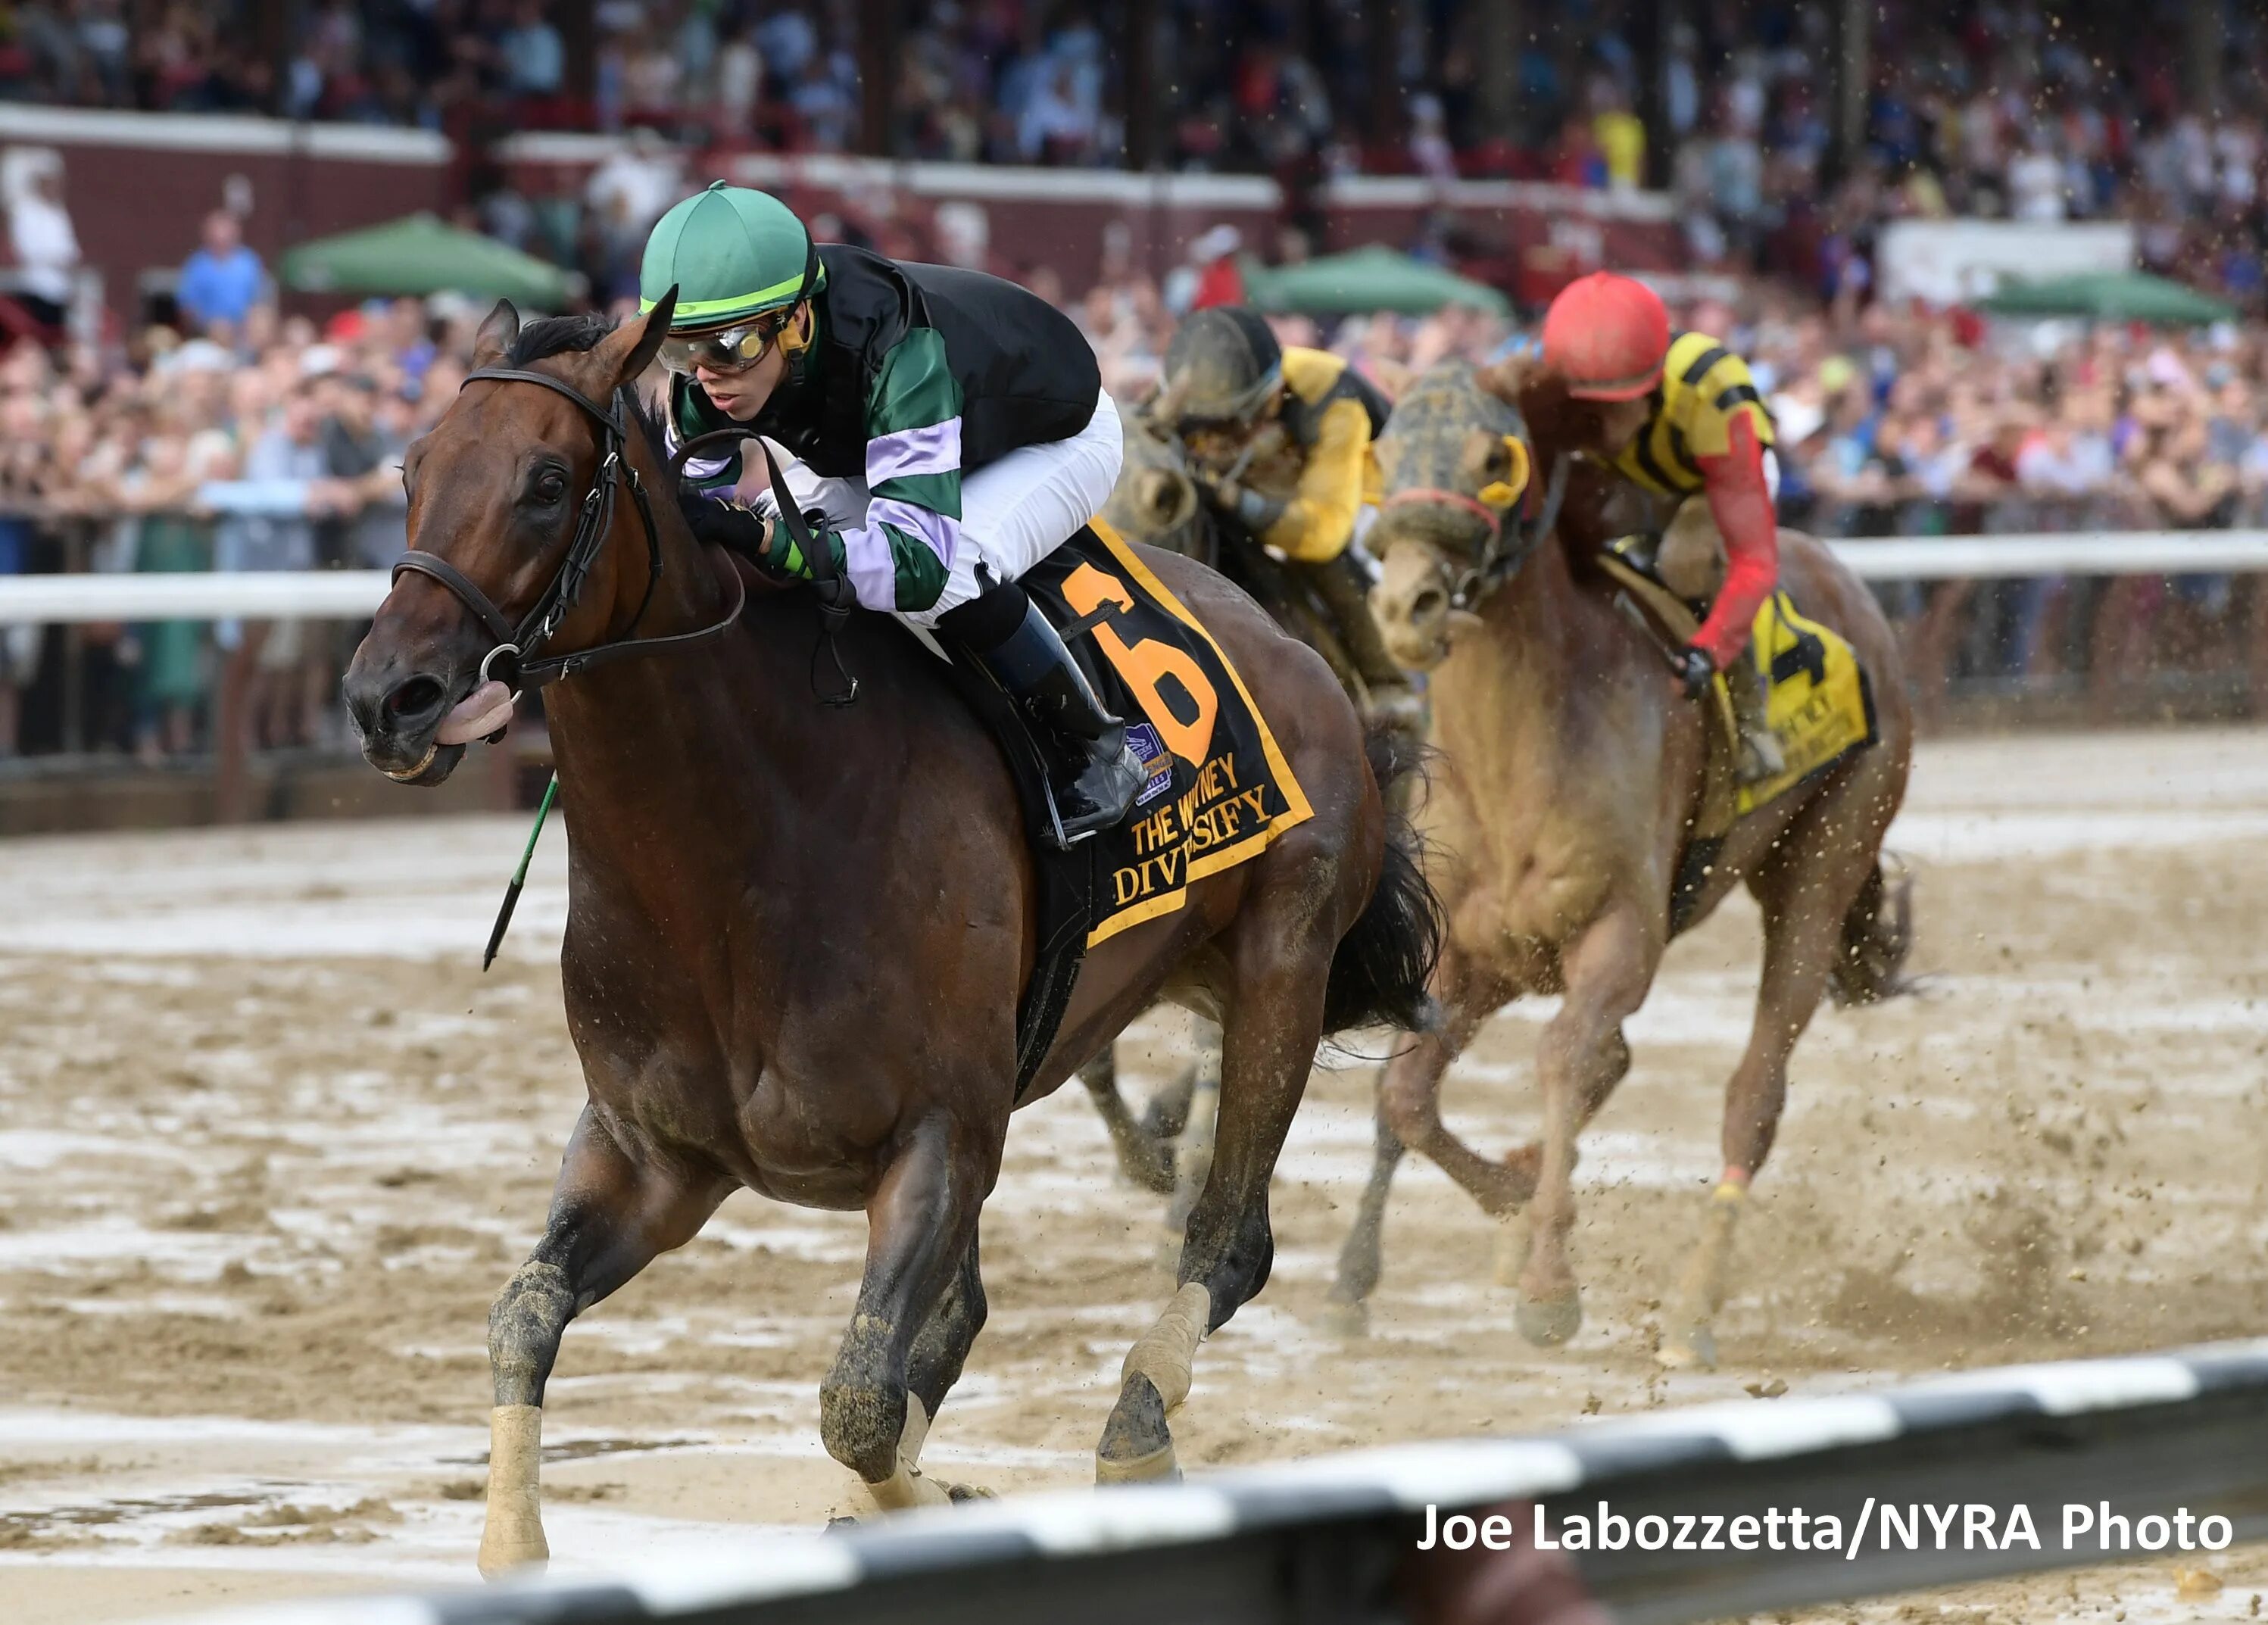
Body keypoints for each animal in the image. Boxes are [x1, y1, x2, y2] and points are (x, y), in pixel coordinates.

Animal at [335, 295, 1433, 1568]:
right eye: (412, 468)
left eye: (547, 482)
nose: (387, 696)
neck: (738, 849)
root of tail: (1292, 649)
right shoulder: (651, 1155)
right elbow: (522, 1316)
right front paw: (514, 1547)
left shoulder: (935, 1137)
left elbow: (856, 1401)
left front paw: (929, 1501)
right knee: (966, 1309)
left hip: (1279, 964)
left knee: (1227, 1240)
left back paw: (1136, 1422)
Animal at [1324, 360, 1914, 1359]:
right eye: (1386, 452)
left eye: (1495, 459)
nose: (1405, 607)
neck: (1521, 754)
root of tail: (1855, 590)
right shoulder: (1471, 953)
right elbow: (1405, 1092)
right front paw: (1376, 1268)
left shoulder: (1617, 937)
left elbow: (1562, 1057)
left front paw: (1547, 1279)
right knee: (1614, 1063)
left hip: (1824, 855)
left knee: (1753, 1094)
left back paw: (1693, 1306)